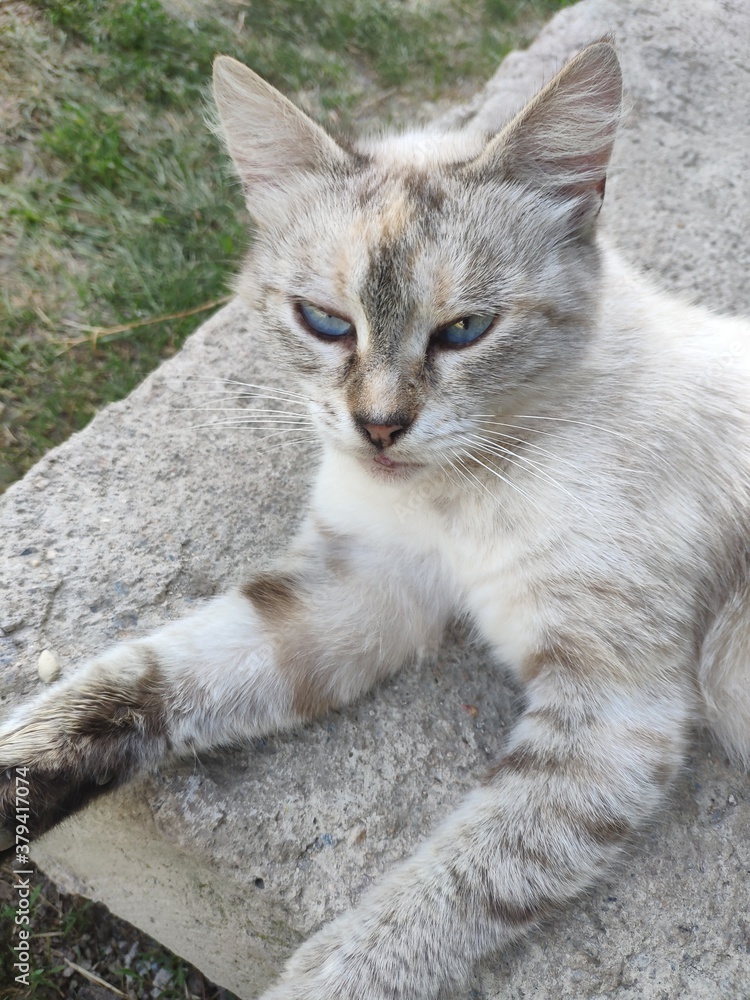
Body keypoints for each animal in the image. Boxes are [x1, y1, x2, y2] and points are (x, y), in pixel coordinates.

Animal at [1, 41, 750, 1000]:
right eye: (325, 322)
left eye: (466, 330)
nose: (380, 427)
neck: (453, 495)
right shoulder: (360, 586)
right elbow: (145, 678)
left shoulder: (614, 714)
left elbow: (429, 905)